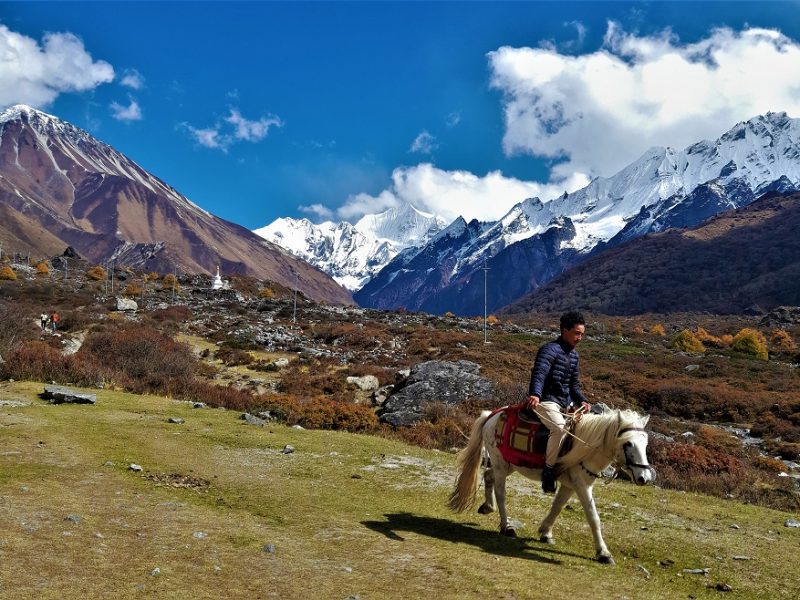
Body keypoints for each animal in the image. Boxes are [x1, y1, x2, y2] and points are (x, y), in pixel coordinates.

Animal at [446, 406, 652, 564]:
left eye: (645, 444)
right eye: (628, 444)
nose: (645, 477)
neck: (585, 447)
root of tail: (492, 415)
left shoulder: (570, 485)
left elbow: (557, 506)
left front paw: (545, 532)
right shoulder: (582, 485)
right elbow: (593, 517)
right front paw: (603, 553)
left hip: (509, 465)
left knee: (488, 476)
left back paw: (487, 507)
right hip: (500, 463)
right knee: (500, 492)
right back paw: (507, 527)